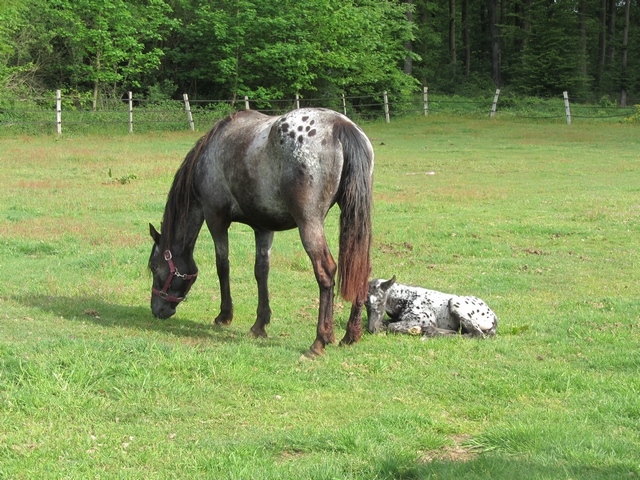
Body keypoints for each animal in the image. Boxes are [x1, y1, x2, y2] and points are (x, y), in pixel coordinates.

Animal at [148, 108, 374, 358]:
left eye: (154, 267)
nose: (156, 309)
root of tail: (341, 125)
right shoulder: (263, 228)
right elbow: (261, 271)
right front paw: (259, 325)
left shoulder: (215, 218)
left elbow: (222, 265)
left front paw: (224, 315)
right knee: (361, 268)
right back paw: (351, 334)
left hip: (309, 223)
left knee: (325, 271)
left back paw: (319, 341)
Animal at [366, 276, 498, 338]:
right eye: (365, 304)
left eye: (380, 300)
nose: (372, 329)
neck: (405, 298)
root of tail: (494, 317)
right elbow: (387, 323)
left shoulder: (423, 319)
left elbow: (392, 326)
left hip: (455, 303)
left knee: (477, 335)